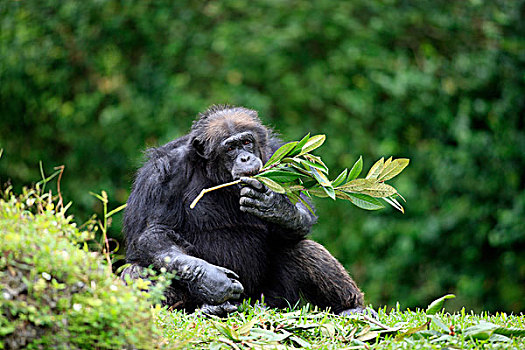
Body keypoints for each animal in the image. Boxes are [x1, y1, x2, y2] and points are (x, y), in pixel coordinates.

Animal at [122, 105, 364, 316]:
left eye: (247, 142)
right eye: (230, 148)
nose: (245, 157)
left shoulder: (278, 158)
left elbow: (302, 211)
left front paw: (274, 207)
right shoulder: (163, 175)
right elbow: (155, 231)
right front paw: (212, 279)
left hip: (275, 301)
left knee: (302, 248)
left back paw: (351, 308)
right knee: (136, 272)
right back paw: (209, 308)